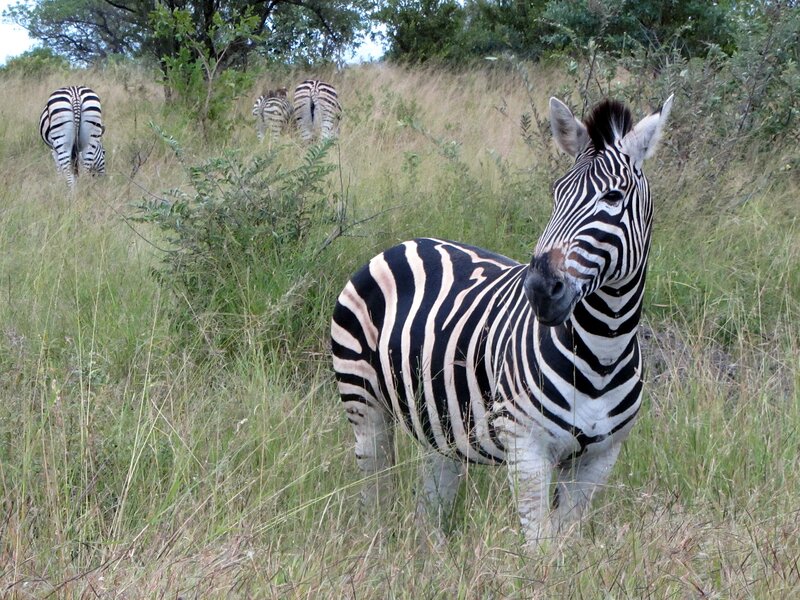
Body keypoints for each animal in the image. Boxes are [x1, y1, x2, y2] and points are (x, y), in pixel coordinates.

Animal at [331, 95, 674, 548]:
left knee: (430, 506)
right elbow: (540, 548)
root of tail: (405, 243)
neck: (603, 349)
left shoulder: (600, 457)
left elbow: (563, 542)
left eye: (614, 197)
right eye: (557, 193)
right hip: (363, 402)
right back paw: (378, 544)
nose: (541, 288)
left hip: (439, 423)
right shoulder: (526, 446)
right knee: (375, 486)